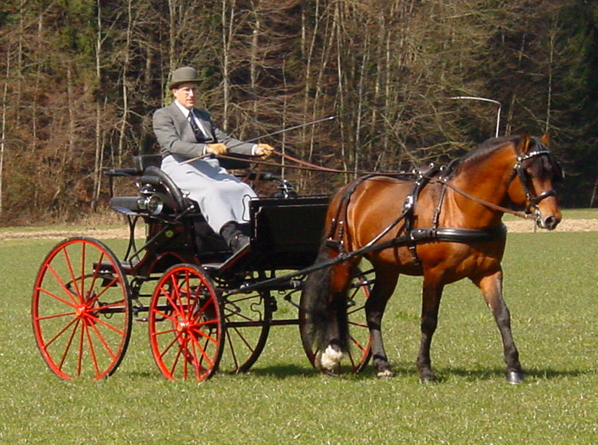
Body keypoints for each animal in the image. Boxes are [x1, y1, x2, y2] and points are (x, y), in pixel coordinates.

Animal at [304, 134, 564, 384]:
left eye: (553, 172)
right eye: (528, 173)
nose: (552, 218)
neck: (460, 208)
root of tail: (350, 187)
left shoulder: (489, 272)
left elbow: (502, 314)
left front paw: (513, 368)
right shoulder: (434, 273)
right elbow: (428, 320)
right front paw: (425, 370)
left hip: (387, 268)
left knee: (373, 310)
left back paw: (382, 365)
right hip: (344, 258)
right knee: (335, 301)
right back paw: (333, 354)